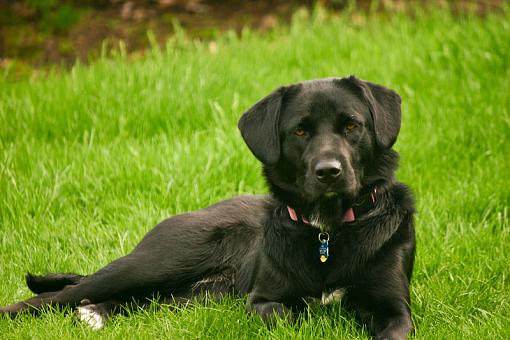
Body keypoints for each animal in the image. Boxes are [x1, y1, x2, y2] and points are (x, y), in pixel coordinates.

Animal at [0, 76, 414, 340]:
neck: (327, 233)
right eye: (300, 131)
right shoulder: (262, 301)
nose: (329, 172)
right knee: (59, 294)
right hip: (156, 263)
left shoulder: (396, 310)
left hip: (192, 296)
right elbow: (290, 315)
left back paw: (95, 313)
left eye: (352, 126)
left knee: (137, 301)